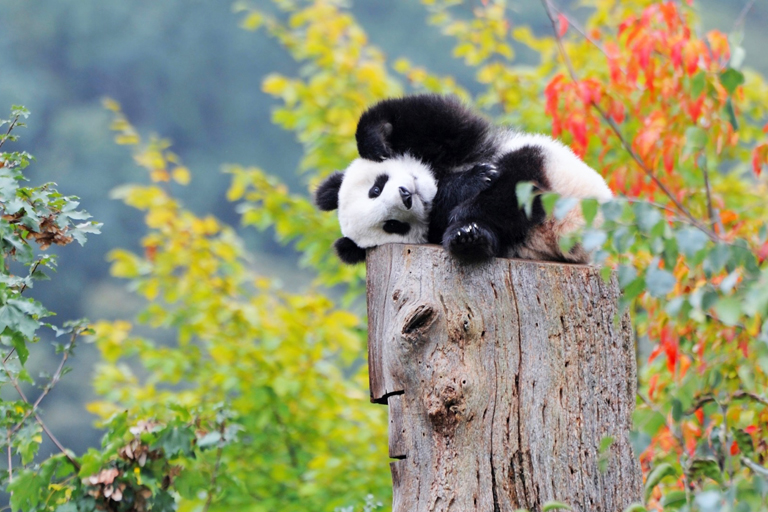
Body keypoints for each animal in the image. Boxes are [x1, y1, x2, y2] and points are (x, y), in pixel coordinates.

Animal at [314, 93, 612, 266]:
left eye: (376, 188)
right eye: (392, 225)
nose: (406, 196)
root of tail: (565, 229)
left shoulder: (460, 143)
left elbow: (431, 117)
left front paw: (375, 143)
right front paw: (466, 185)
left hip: (559, 172)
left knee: (517, 181)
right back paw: (468, 235)